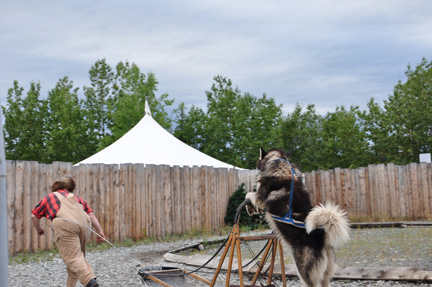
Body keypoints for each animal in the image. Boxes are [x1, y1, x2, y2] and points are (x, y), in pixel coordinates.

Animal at [245, 148, 350, 287]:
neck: (281, 167)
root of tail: (322, 236)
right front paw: (254, 209)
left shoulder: (260, 197)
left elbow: (249, 194)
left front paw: (250, 207)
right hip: (325, 274)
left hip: (303, 269)